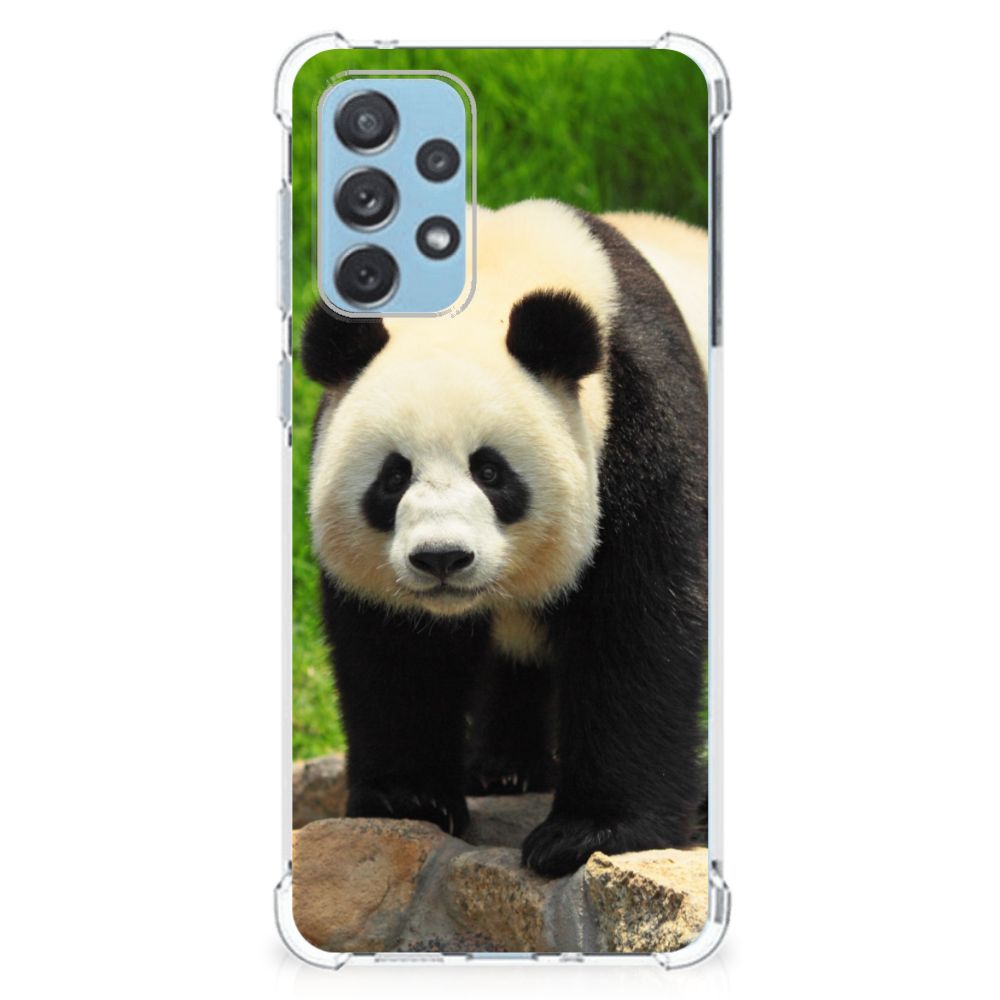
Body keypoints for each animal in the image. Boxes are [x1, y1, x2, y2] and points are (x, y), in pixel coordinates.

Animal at [302, 200, 708, 877]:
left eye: (491, 472)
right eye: (393, 476)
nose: (442, 558)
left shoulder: (641, 422)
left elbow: (639, 624)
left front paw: (589, 833)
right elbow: (396, 649)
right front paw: (408, 799)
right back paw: (504, 769)